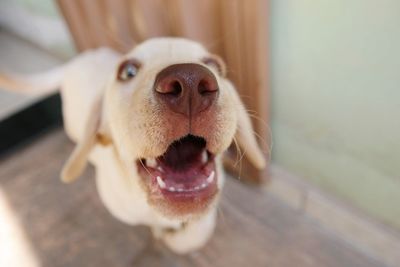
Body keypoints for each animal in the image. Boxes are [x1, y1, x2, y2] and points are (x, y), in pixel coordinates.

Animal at [0, 37, 266, 253]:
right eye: (127, 71)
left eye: (215, 65)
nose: (189, 82)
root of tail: (77, 60)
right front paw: (162, 233)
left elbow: (195, 232)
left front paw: (177, 235)